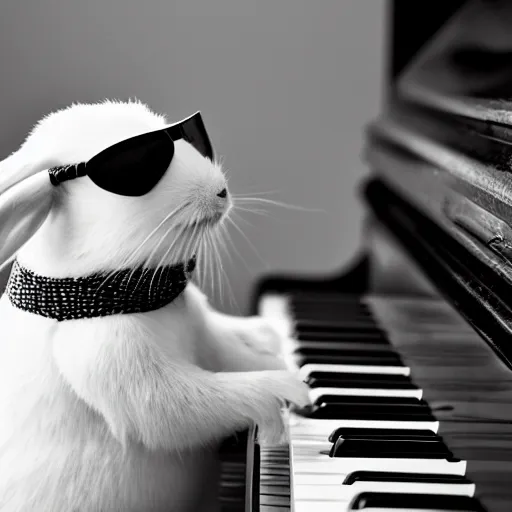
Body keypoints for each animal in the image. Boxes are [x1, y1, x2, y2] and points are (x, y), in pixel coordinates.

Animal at [0, 100, 310, 512]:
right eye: (138, 165)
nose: (221, 192)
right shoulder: (120, 364)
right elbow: (184, 407)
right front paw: (286, 392)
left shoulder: (203, 334)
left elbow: (231, 351)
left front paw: (271, 344)